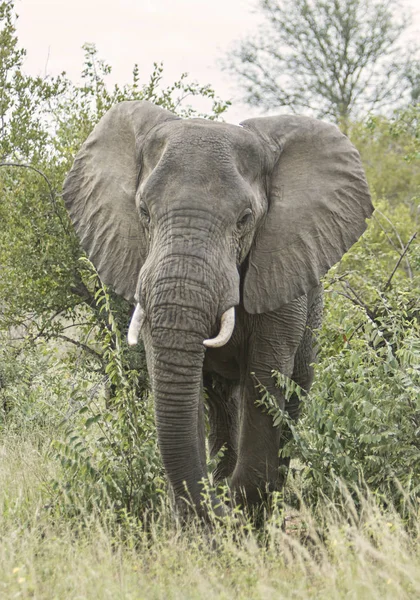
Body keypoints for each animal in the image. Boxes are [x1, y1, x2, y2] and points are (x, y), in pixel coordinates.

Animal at [63, 99, 374, 520]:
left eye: (244, 220)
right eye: (144, 212)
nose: (218, 502)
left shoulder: (279, 269)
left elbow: (266, 377)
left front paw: (242, 511)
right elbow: (179, 384)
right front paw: (204, 518)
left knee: (293, 392)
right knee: (219, 401)